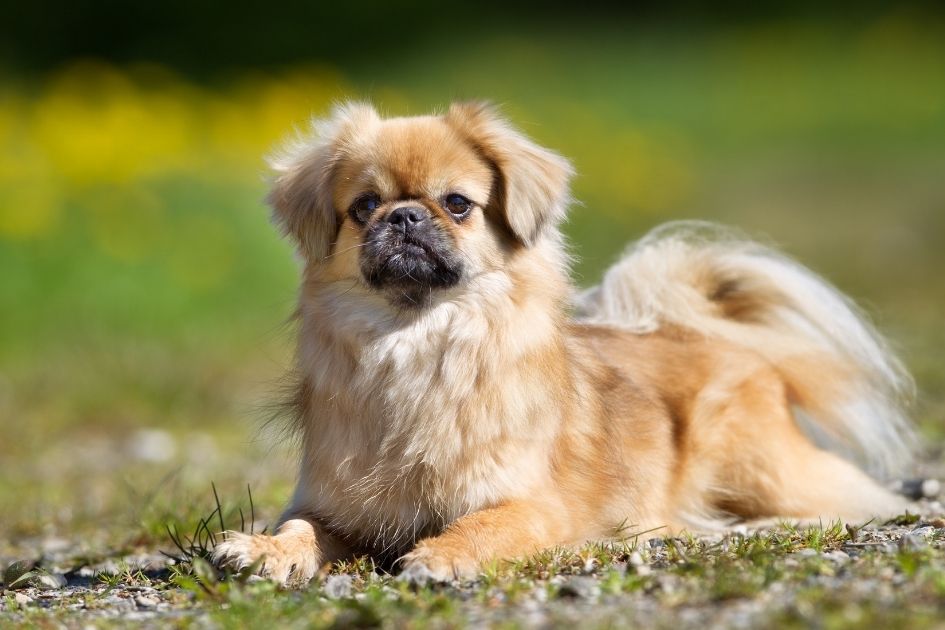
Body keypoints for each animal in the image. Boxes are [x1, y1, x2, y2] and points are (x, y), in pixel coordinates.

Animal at [214, 101, 916, 584]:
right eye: (364, 207)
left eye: (457, 203)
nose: (405, 215)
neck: (416, 345)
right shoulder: (332, 506)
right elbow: (300, 528)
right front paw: (260, 550)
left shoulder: (530, 505)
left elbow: (481, 523)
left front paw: (440, 556)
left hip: (760, 470)